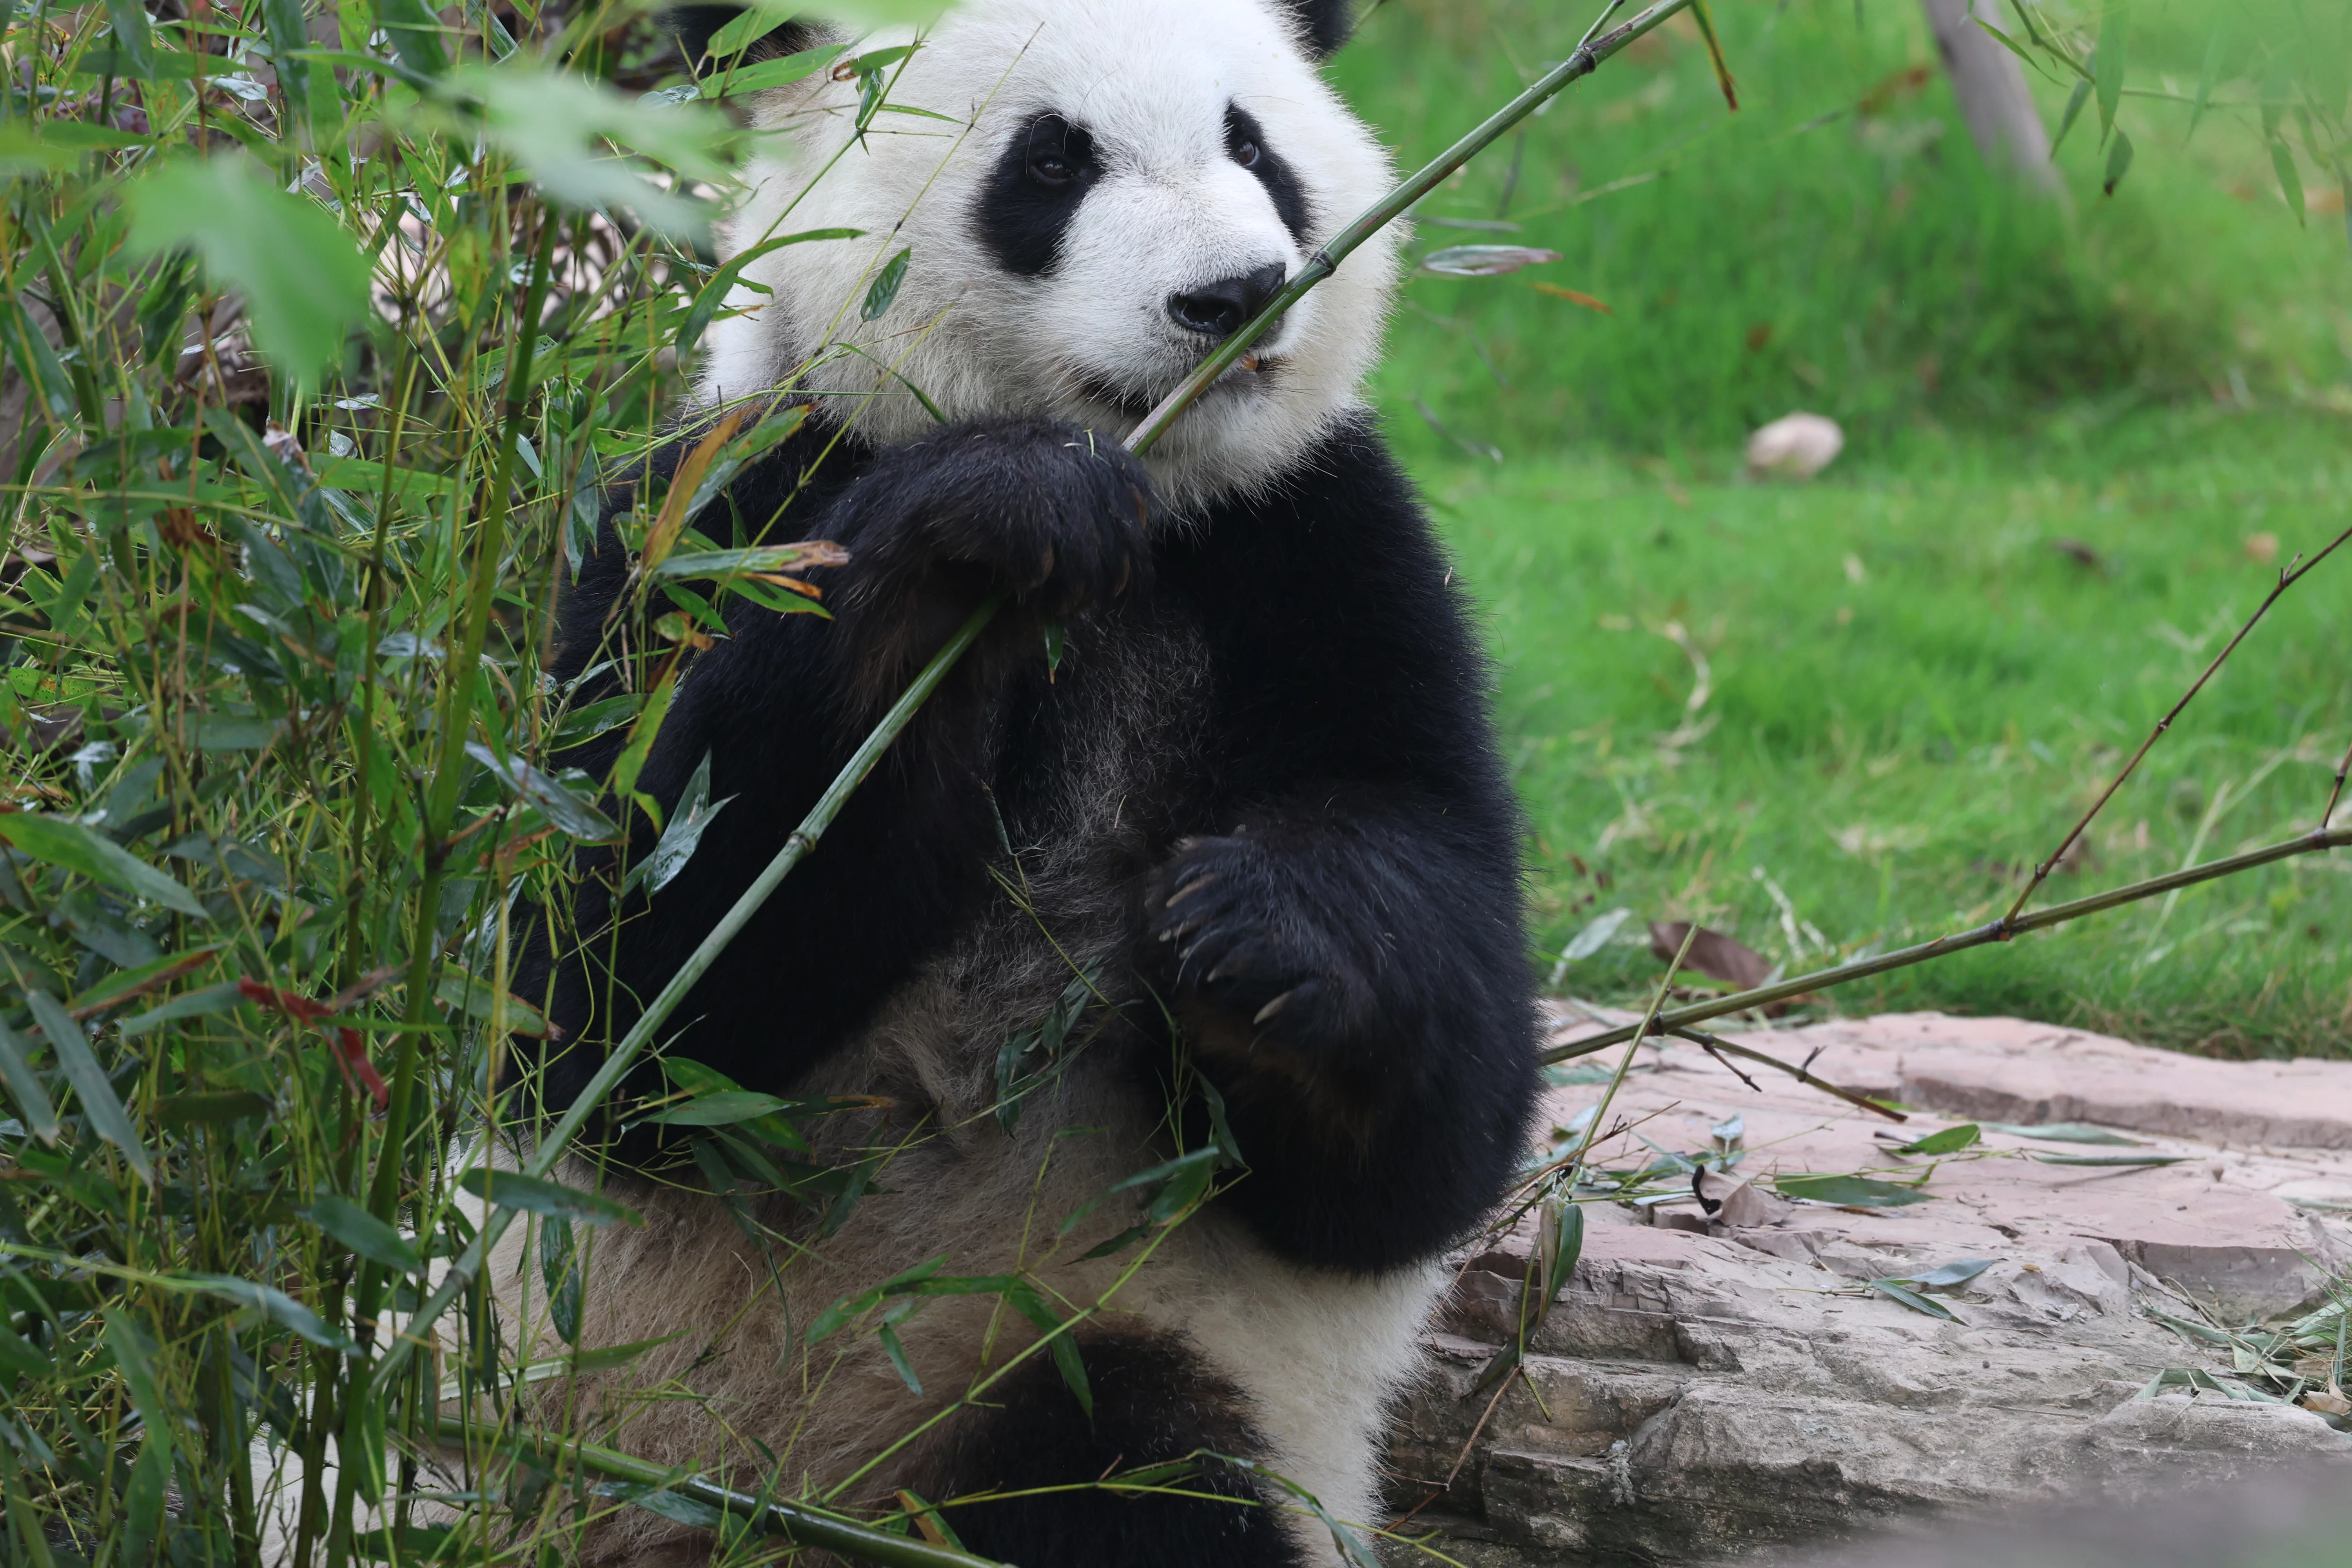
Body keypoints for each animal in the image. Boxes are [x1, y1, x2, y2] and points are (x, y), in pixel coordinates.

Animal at [521, 1, 1540, 1563]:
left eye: (1255, 145)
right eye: (1052, 161)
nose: (1235, 296)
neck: (1142, 498)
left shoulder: (1316, 547)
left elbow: (1429, 1131)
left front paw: (1261, 939)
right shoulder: (714, 510)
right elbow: (622, 985)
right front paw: (987, 519)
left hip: (1048, 1351)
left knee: (1135, 1464)